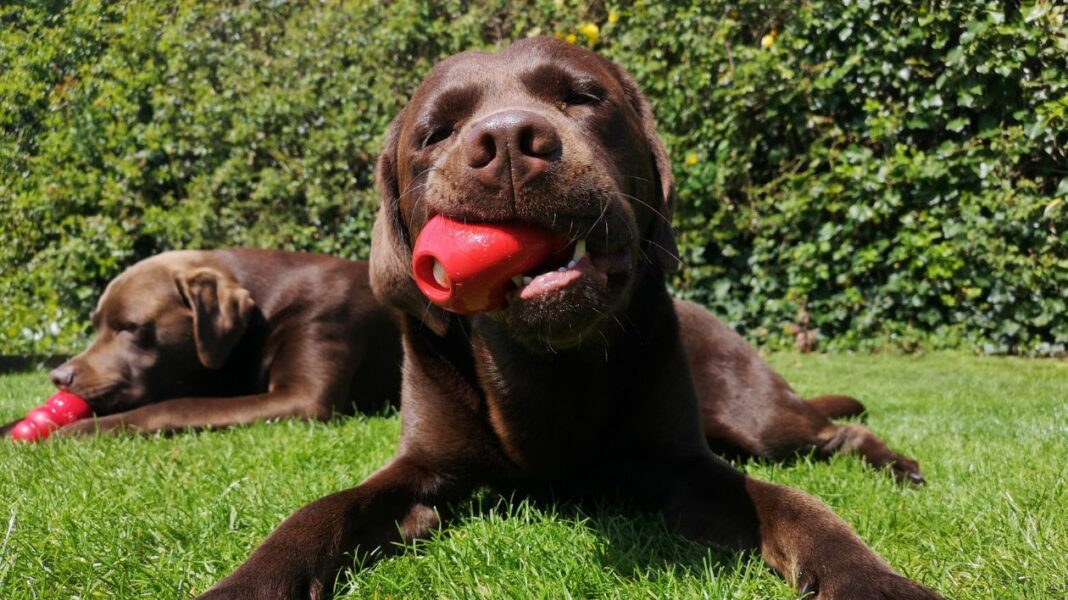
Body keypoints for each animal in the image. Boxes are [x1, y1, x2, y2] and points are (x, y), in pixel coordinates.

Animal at [0, 247, 403, 433]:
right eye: (97, 325)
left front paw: (77, 430)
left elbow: (173, 406)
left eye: (128, 327)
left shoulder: (303, 397)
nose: (58, 377)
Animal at [198, 38, 935, 597]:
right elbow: (322, 509)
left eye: (583, 97)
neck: (546, 368)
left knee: (833, 434)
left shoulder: (683, 464)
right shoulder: (420, 469)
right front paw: (247, 582)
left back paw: (899, 467)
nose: (507, 141)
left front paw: (874, 581)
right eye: (436, 132)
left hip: (754, 417)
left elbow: (795, 505)